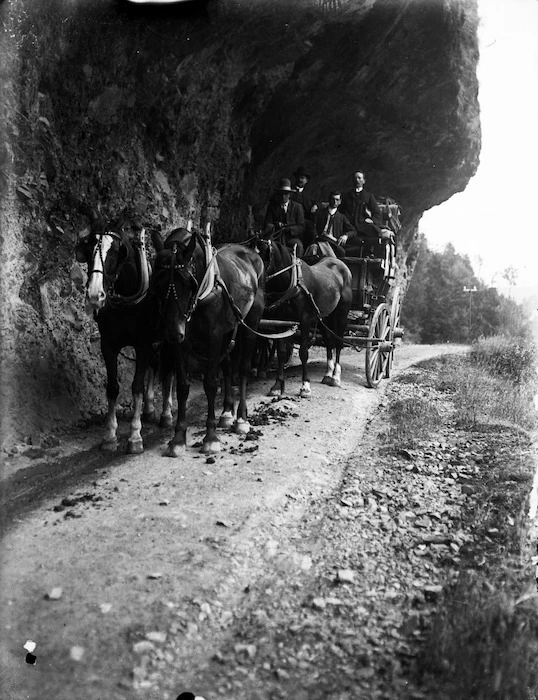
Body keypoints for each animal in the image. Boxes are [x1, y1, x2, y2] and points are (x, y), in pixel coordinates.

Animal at [75, 208, 159, 452]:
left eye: (116, 251)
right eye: (87, 249)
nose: (95, 295)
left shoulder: (143, 344)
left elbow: (136, 386)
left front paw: (135, 435)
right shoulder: (108, 345)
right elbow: (112, 387)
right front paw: (110, 434)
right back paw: (149, 408)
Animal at [151, 227, 264, 456]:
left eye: (188, 283)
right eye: (157, 283)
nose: (173, 332)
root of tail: (250, 252)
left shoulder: (213, 337)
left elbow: (211, 383)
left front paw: (210, 437)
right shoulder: (181, 342)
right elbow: (182, 386)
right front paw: (178, 438)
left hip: (250, 323)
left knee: (243, 369)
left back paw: (241, 418)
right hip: (229, 329)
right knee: (228, 366)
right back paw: (227, 413)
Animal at [256, 238, 352, 396]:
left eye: (264, 255)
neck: (293, 283)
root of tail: (340, 263)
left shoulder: (305, 320)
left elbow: (303, 352)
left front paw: (305, 386)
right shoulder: (280, 322)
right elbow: (281, 352)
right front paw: (277, 386)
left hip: (342, 313)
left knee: (338, 342)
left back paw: (336, 377)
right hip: (325, 316)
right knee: (329, 341)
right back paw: (328, 374)